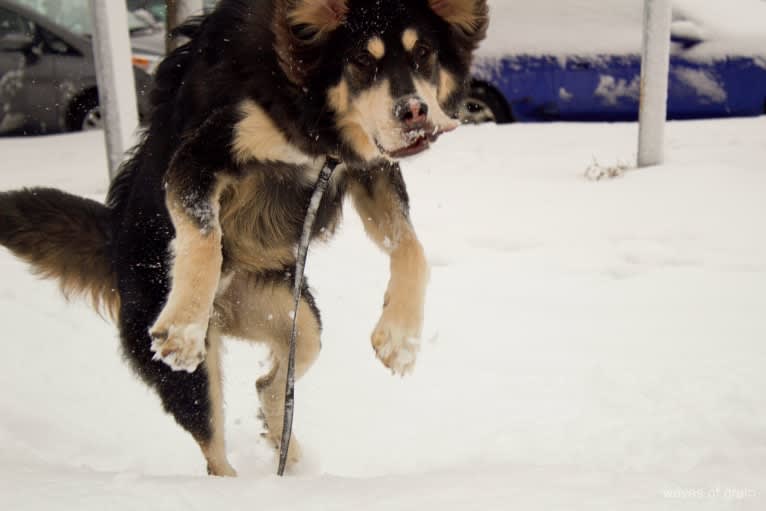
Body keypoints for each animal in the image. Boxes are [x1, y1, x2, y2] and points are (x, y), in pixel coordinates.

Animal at [0, 0, 488, 478]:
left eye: (423, 53)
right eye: (362, 61)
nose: (414, 112)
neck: (303, 99)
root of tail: (114, 245)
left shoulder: (368, 167)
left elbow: (411, 248)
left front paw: (400, 337)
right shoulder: (202, 156)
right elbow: (204, 234)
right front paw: (184, 323)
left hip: (294, 317)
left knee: (270, 382)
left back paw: (285, 451)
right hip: (195, 377)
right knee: (215, 453)